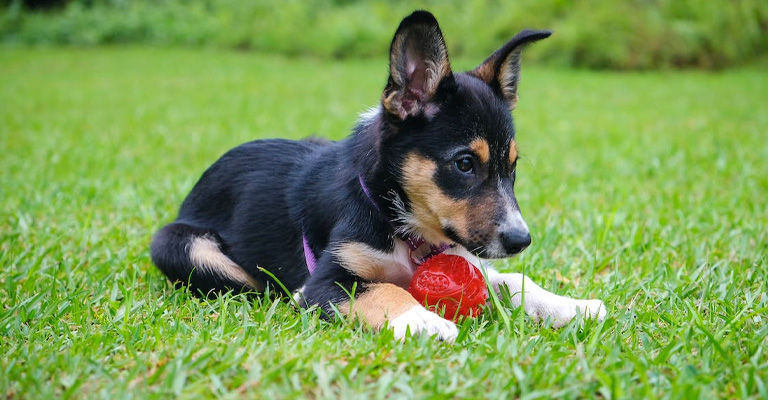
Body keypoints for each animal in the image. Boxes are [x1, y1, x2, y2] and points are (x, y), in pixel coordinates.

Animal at [150, 10, 608, 340]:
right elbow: (381, 288)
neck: (399, 222)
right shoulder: (324, 284)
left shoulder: (466, 255)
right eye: (464, 164)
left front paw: (570, 306)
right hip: (180, 245)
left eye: (512, 167)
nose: (520, 240)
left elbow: (511, 281)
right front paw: (422, 321)